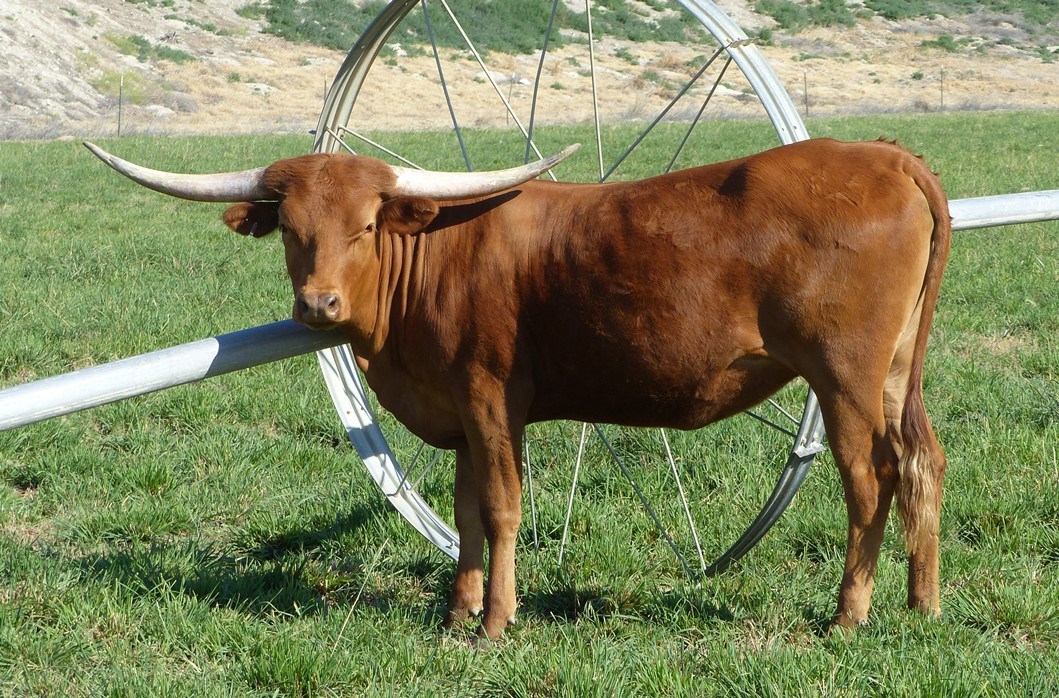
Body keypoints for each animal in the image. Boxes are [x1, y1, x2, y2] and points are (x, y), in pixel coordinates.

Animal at [86, 137, 950, 639]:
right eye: (294, 232)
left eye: (365, 226)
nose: (318, 306)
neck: (432, 255)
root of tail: (886, 157)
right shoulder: (461, 415)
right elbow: (467, 509)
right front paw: (457, 608)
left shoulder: (491, 400)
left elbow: (501, 508)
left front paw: (496, 620)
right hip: (894, 374)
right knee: (921, 465)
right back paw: (921, 602)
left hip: (842, 376)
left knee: (867, 480)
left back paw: (847, 615)